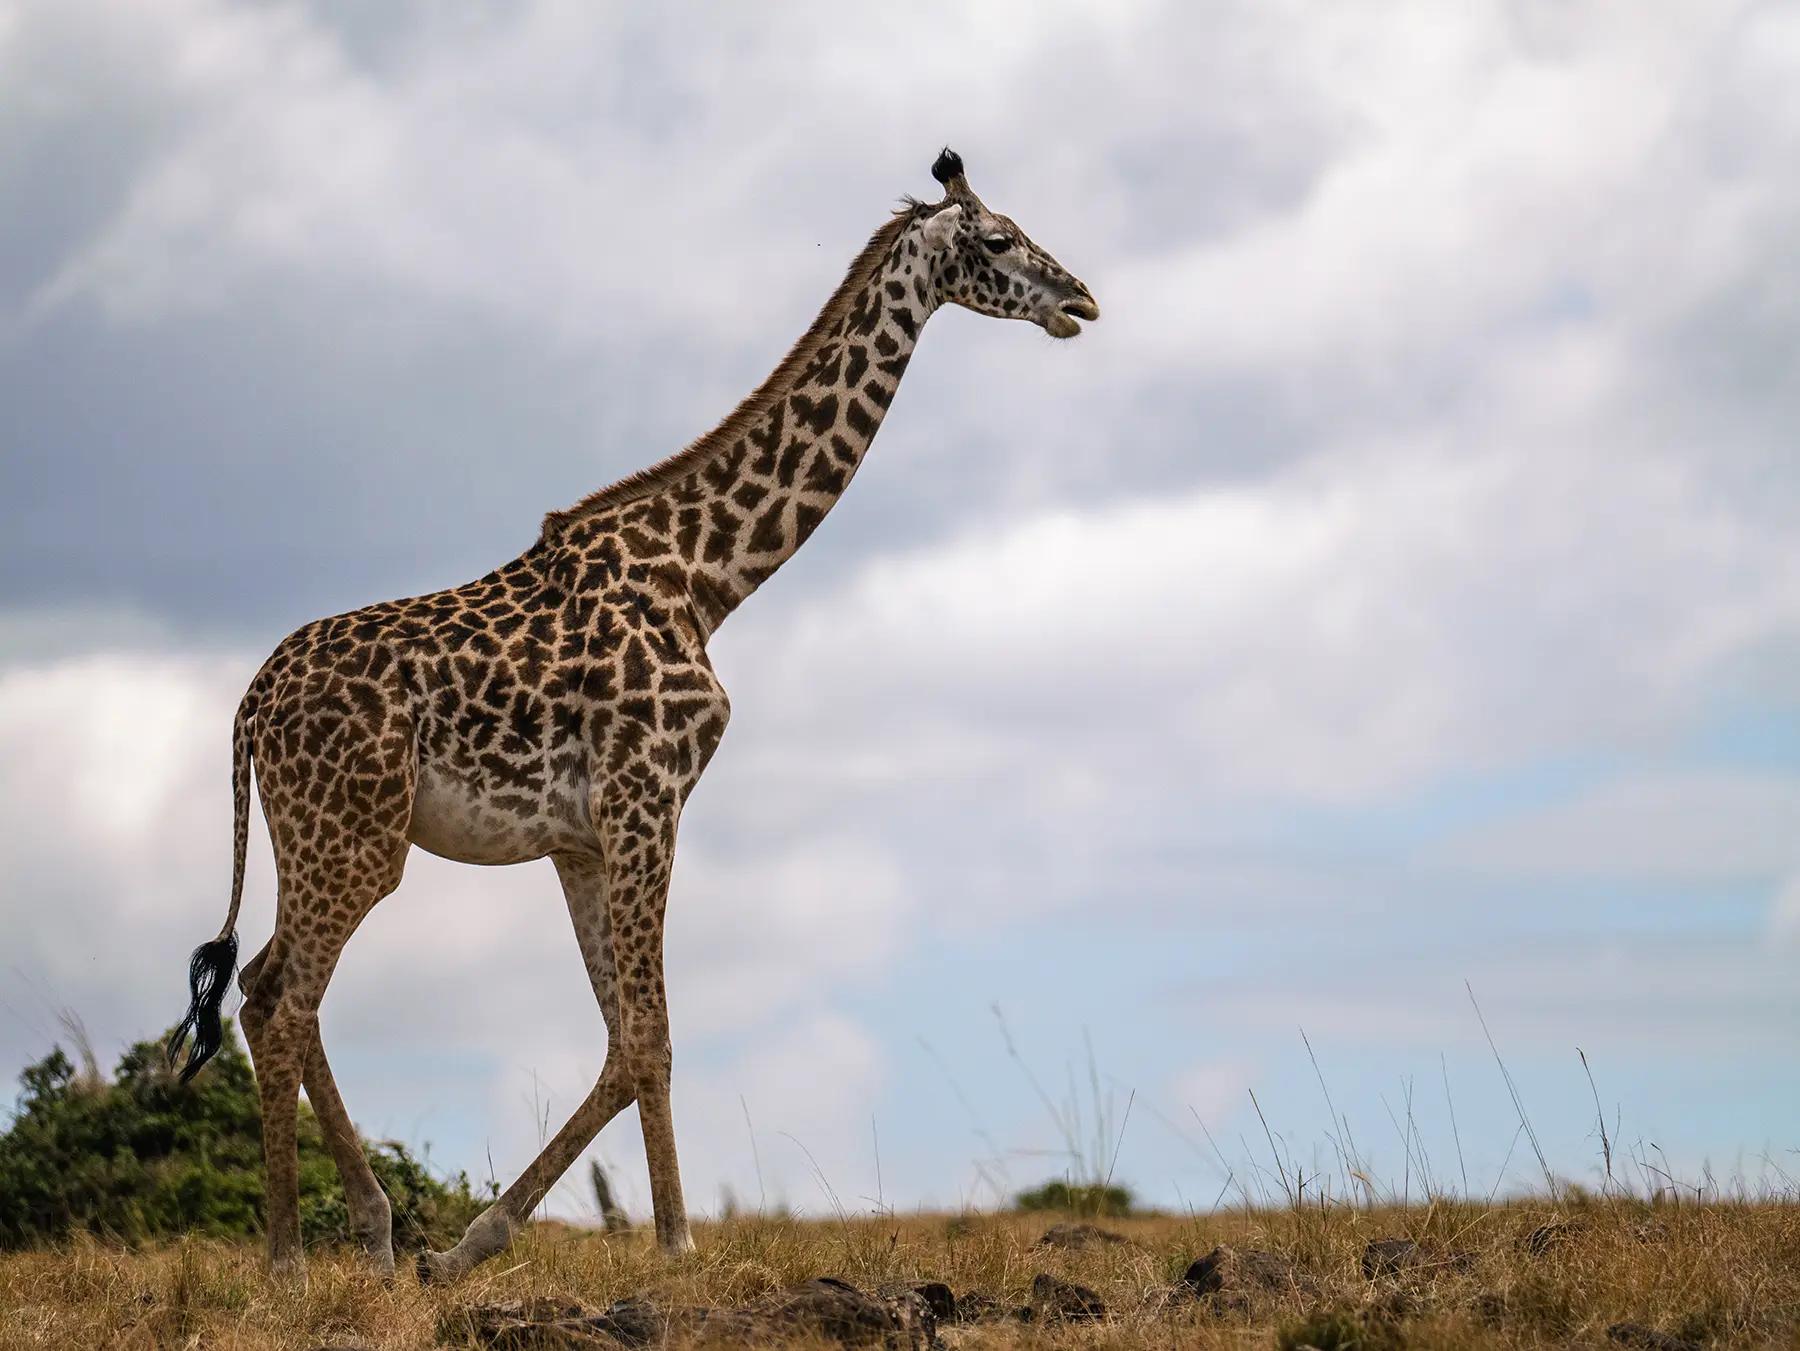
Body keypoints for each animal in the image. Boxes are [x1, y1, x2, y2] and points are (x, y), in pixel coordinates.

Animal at [166, 148, 1098, 1282]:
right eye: (999, 238)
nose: (1081, 301)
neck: (709, 577)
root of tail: (250, 706)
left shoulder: (583, 836)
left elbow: (624, 1034)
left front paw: (505, 1242)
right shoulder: (648, 796)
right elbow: (651, 1033)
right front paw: (668, 1242)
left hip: (319, 837)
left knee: (266, 985)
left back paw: (379, 1237)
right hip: (355, 839)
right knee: (279, 999)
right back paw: (295, 1259)